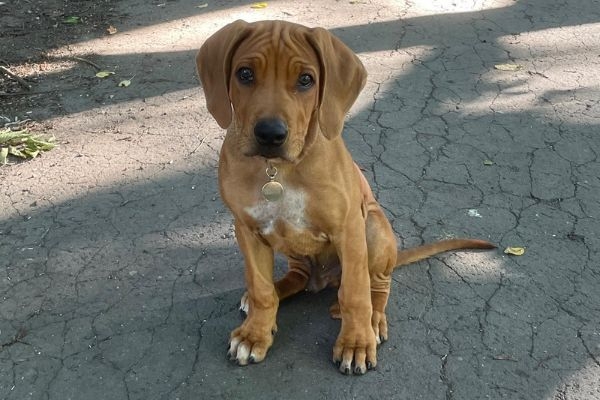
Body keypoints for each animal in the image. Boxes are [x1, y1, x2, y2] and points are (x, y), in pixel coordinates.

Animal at [196, 19, 492, 376]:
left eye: (306, 79)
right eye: (244, 74)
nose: (270, 134)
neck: (277, 170)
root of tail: (323, 280)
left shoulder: (348, 228)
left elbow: (355, 293)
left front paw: (355, 343)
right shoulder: (247, 229)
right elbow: (261, 288)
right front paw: (255, 334)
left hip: (373, 227)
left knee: (376, 285)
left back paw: (374, 321)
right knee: (295, 279)